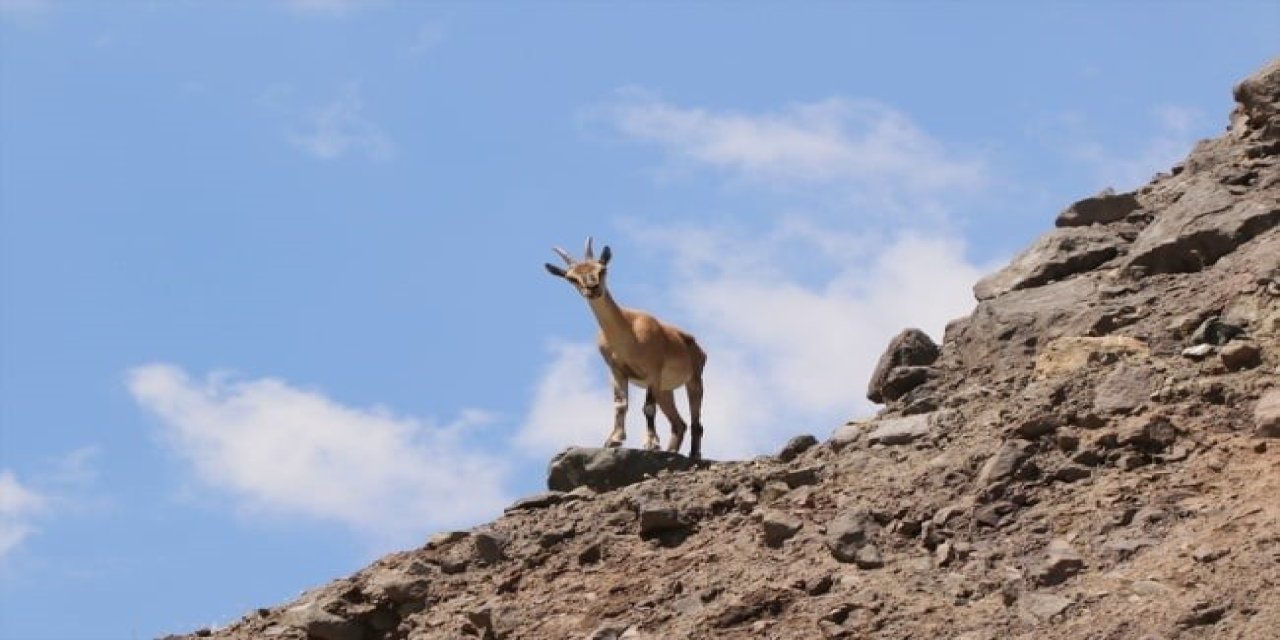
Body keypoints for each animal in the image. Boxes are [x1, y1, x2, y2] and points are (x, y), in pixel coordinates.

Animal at [545, 238, 711, 458]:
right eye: (571, 278)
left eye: (602, 269)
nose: (592, 287)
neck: (628, 335)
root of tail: (698, 348)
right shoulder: (616, 371)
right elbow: (620, 404)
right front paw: (613, 439)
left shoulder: (653, 371)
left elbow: (648, 408)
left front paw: (650, 443)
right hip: (666, 391)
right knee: (679, 424)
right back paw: (671, 451)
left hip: (694, 379)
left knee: (695, 421)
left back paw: (694, 454)